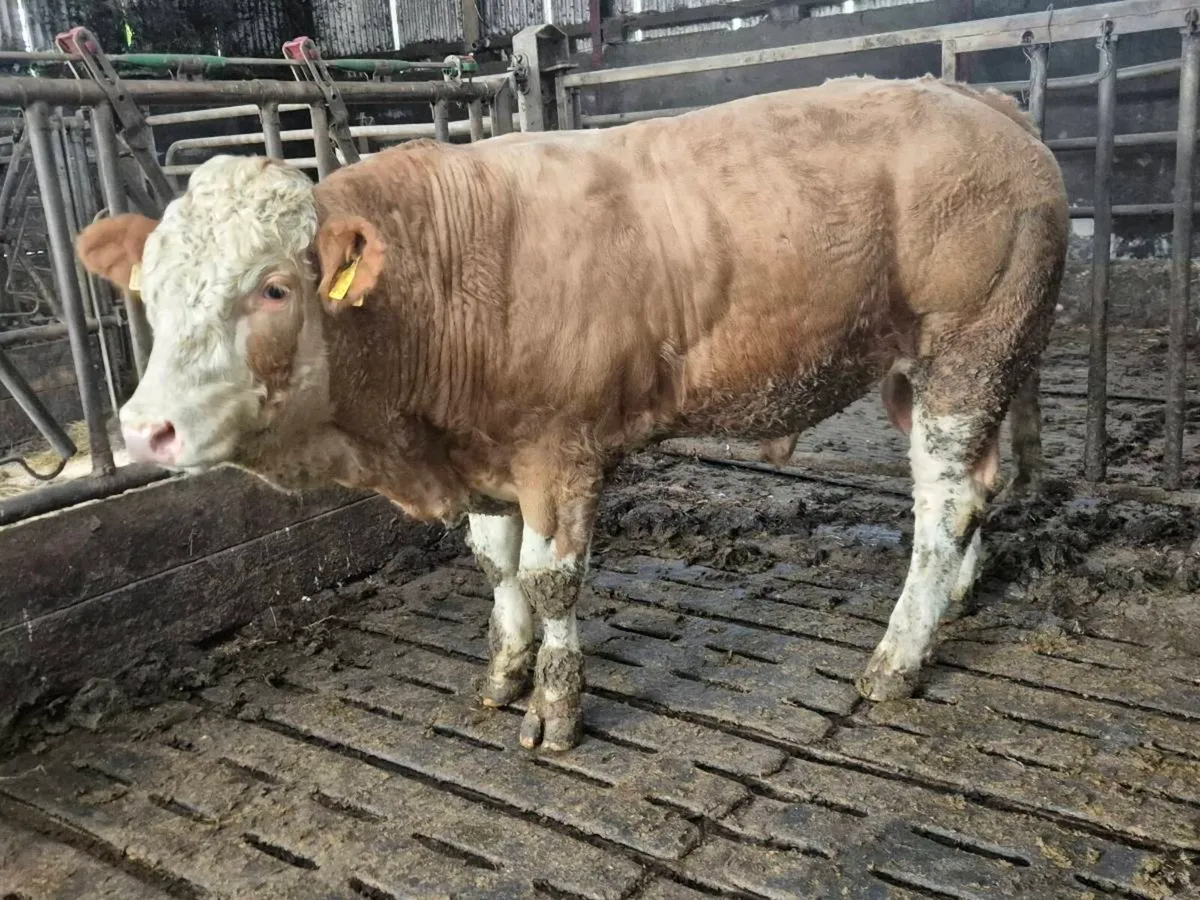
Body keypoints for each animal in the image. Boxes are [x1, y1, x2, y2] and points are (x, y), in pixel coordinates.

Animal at [77, 75, 1068, 753]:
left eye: (275, 287)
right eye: (149, 293)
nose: (146, 428)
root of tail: (983, 102)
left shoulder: (561, 452)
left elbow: (551, 579)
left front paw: (554, 706)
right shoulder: (483, 452)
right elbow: (495, 564)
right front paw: (503, 671)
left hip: (967, 354)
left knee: (943, 503)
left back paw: (896, 661)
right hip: (938, 372)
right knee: (975, 488)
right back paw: (957, 596)